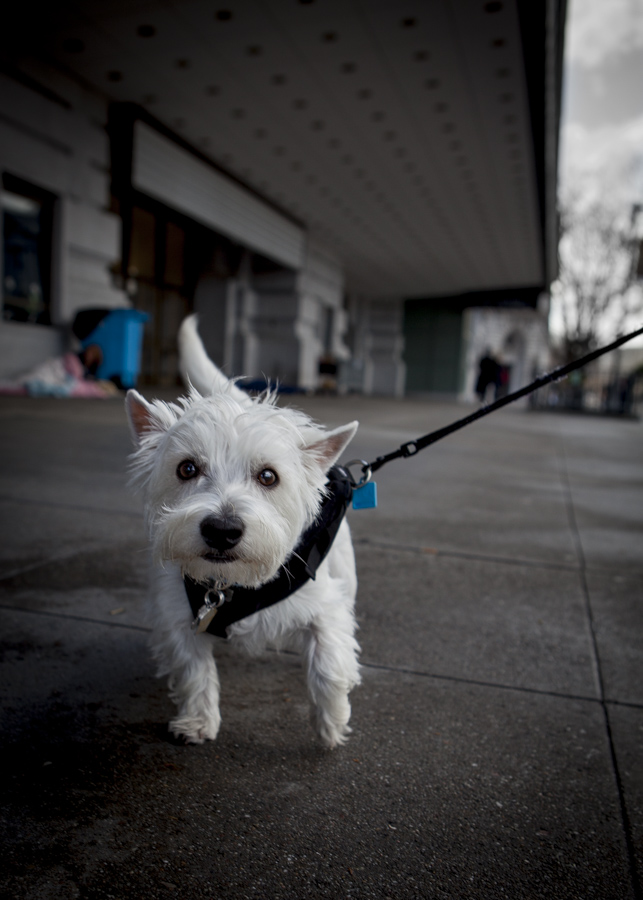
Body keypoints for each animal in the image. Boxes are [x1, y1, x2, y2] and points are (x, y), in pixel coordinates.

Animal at [123, 312, 360, 748]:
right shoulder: (178, 615)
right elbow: (194, 669)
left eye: (268, 476)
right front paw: (198, 721)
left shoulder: (325, 606)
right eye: (186, 468)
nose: (222, 529)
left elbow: (330, 659)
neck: (232, 584)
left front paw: (332, 721)